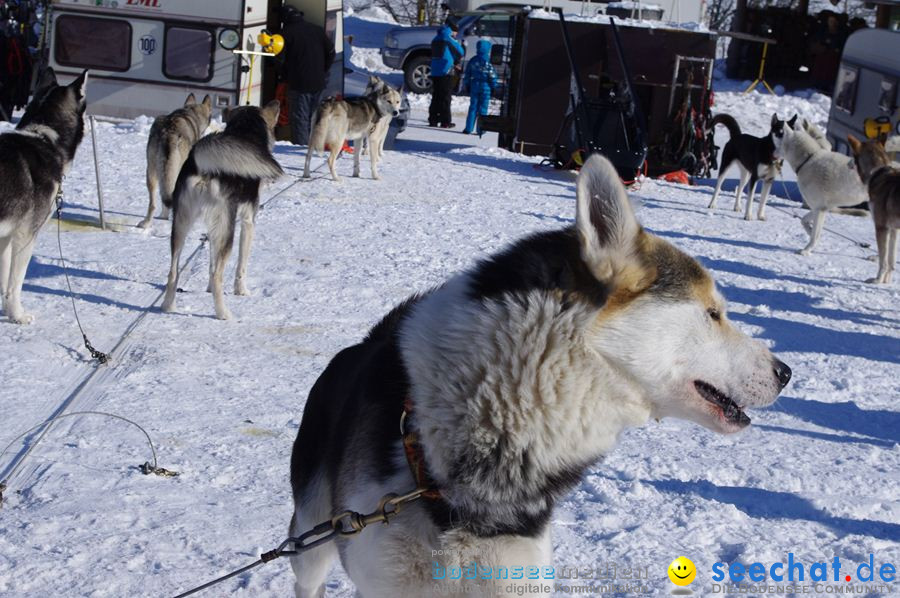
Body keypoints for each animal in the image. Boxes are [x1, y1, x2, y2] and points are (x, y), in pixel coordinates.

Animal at [162, 102, 282, 324]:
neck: (245, 129)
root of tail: (200, 164)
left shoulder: (213, 228)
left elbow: (210, 263)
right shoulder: (247, 221)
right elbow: (241, 266)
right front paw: (241, 291)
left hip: (182, 226)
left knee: (173, 272)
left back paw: (168, 306)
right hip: (227, 230)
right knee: (218, 275)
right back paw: (223, 313)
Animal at [772, 124, 872, 255]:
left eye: (779, 141)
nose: (772, 153)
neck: (808, 159)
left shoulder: (820, 209)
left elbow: (815, 235)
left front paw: (806, 250)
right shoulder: (820, 208)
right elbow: (804, 221)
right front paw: (809, 232)